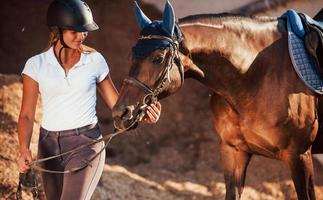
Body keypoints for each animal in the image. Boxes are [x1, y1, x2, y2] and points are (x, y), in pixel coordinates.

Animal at [112, 1, 322, 200]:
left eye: (158, 58)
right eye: (131, 55)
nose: (121, 113)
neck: (254, 75)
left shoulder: (299, 155)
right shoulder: (234, 151)